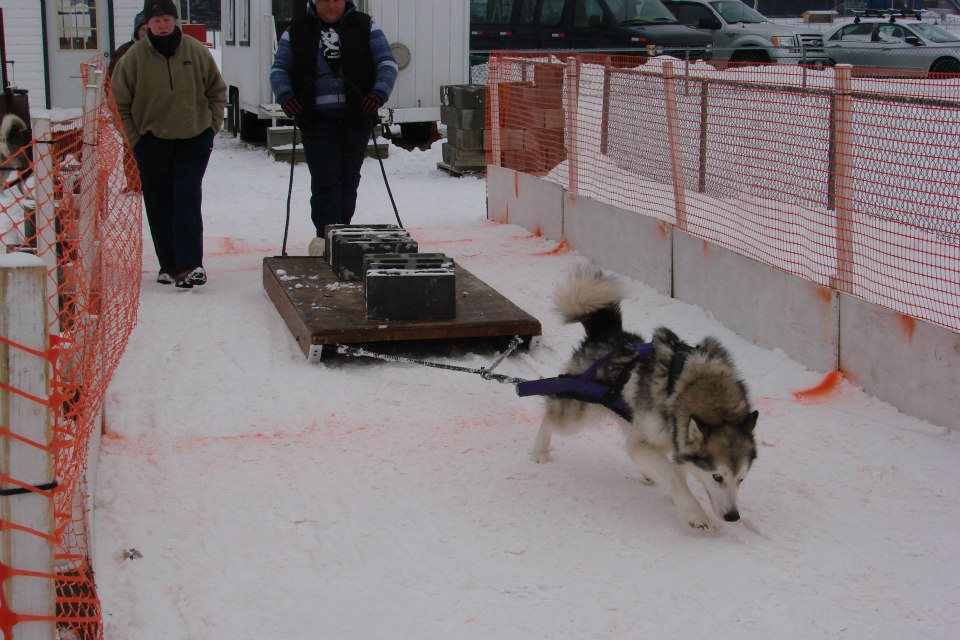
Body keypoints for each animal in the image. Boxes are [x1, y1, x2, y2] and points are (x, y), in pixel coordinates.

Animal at [532, 266, 756, 528]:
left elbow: (676, 470)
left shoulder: (670, 442)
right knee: (550, 417)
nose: (733, 516)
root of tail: (606, 332)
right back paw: (540, 452)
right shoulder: (642, 444)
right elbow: (674, 477)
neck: (694, 385)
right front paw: (694, 512)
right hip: (578, 415)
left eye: (741, 479)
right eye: (717, 476)